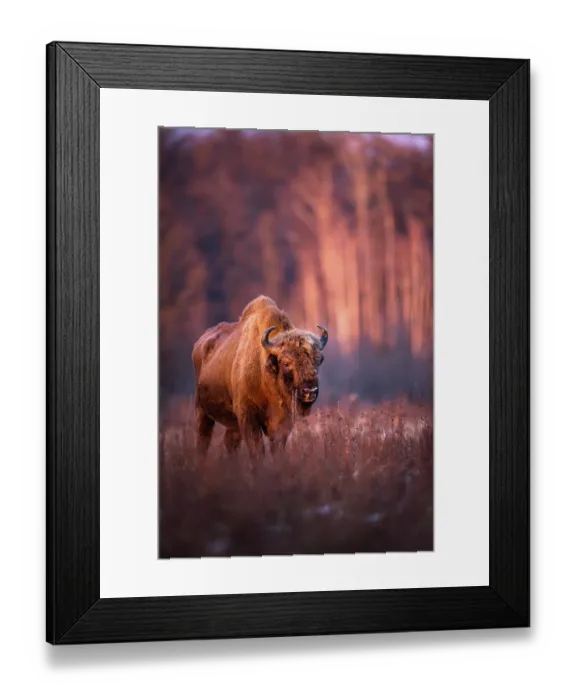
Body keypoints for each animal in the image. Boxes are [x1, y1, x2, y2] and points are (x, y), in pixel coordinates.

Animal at [192, 295, 328, 459]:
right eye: (286, 363)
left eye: (318, 360)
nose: (310, 391)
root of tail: (199, 344)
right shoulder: (247, 417)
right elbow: (257, 450)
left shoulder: (284, 423)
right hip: (202, 411)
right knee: (203, 441)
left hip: (231, 423)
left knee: (230, 443)